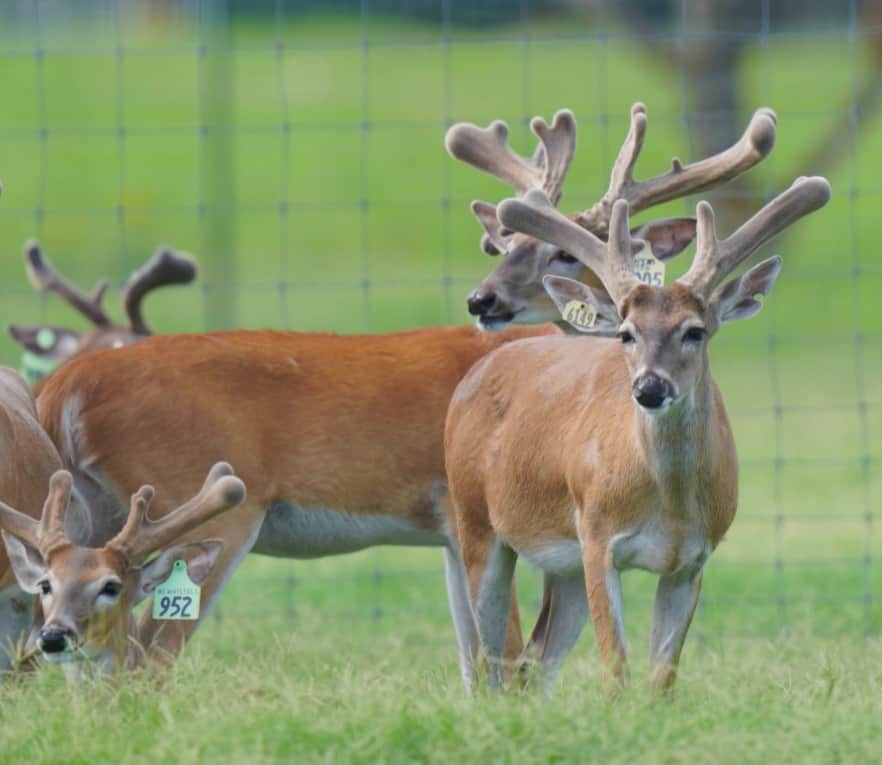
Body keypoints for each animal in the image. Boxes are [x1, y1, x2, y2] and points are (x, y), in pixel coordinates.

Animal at [444, 175, 831, 695]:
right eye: (626, 333)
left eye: (694, 331)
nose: (649, 387)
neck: (670, 504)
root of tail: (477, 371)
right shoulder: (598, 537)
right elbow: (615, 671)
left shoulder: (694, 559)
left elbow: (662, 678)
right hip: (476, 523)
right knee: (493, 664)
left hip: (561, 565)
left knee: (533, 662)